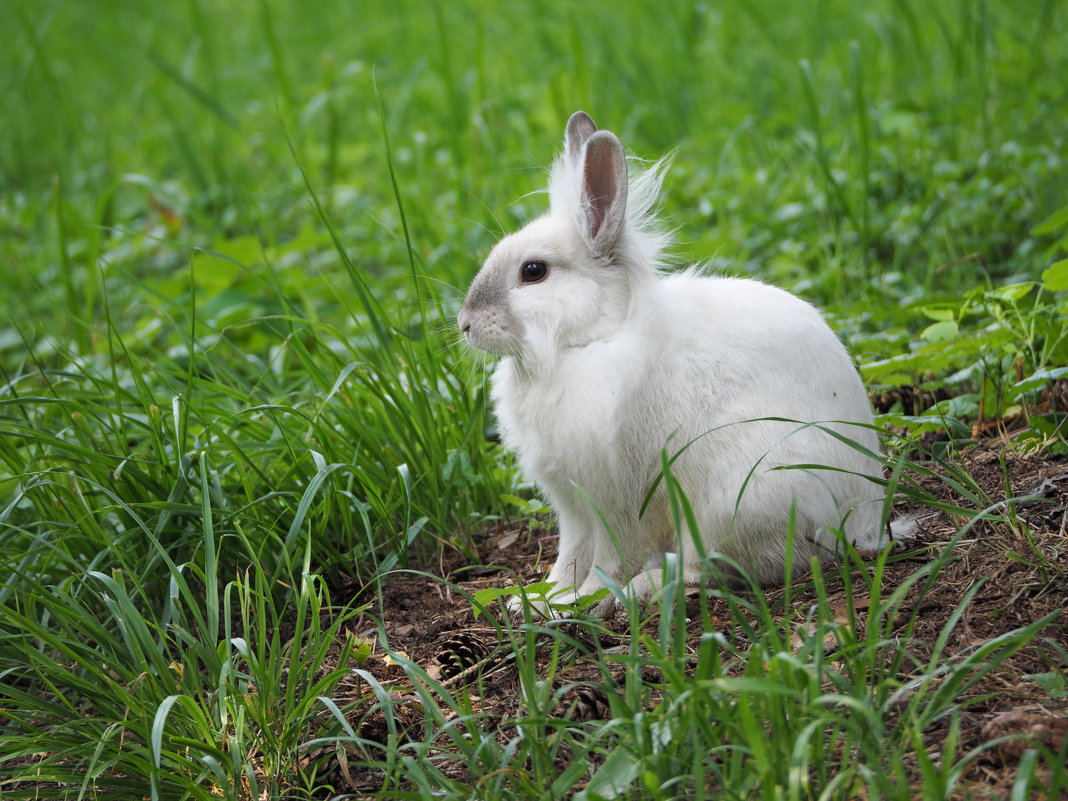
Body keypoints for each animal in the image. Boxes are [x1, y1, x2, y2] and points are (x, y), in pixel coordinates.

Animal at [459, 111, 884, 615]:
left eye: (533, 272)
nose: (465, 323)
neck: (588, 343)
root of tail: (863, 521)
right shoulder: (574, 507)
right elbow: (568, 557)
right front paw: (543, 602)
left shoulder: (617, 502)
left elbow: (610, 557)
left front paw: (587, 600)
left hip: (734, 499)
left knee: (725, 567)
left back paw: (643, 588)